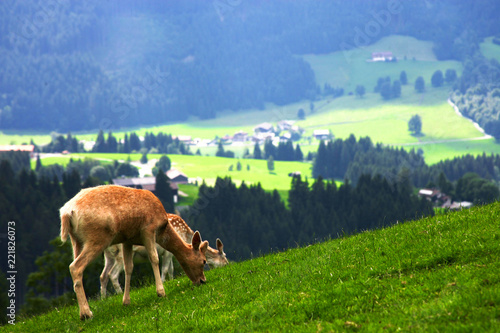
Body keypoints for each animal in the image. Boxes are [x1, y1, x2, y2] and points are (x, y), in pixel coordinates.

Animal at [60, 184, 209, 320]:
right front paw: (161, 292)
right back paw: (87, 313)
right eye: (204, 261)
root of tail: (67, 212)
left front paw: (126, 301)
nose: (202, 281)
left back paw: (83, 312)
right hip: (97, 237)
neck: (163, 229)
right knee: (75, 267)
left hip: (76, 241)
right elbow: (154, 258)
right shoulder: (148, 229)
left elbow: (129, 268)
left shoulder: (128, 240)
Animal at [100, 214, 229, 296]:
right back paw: (120, 293)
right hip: (120, 255)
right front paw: (163, 283)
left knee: (103, 275)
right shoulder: (168, 252)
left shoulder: (171, 254)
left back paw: (103, 299)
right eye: (226, 258)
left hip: (108, 256)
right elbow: (166, 268)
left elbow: (171, 269)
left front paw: (171, 280)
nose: (228, 265)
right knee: (112, 274)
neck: (185, 237)